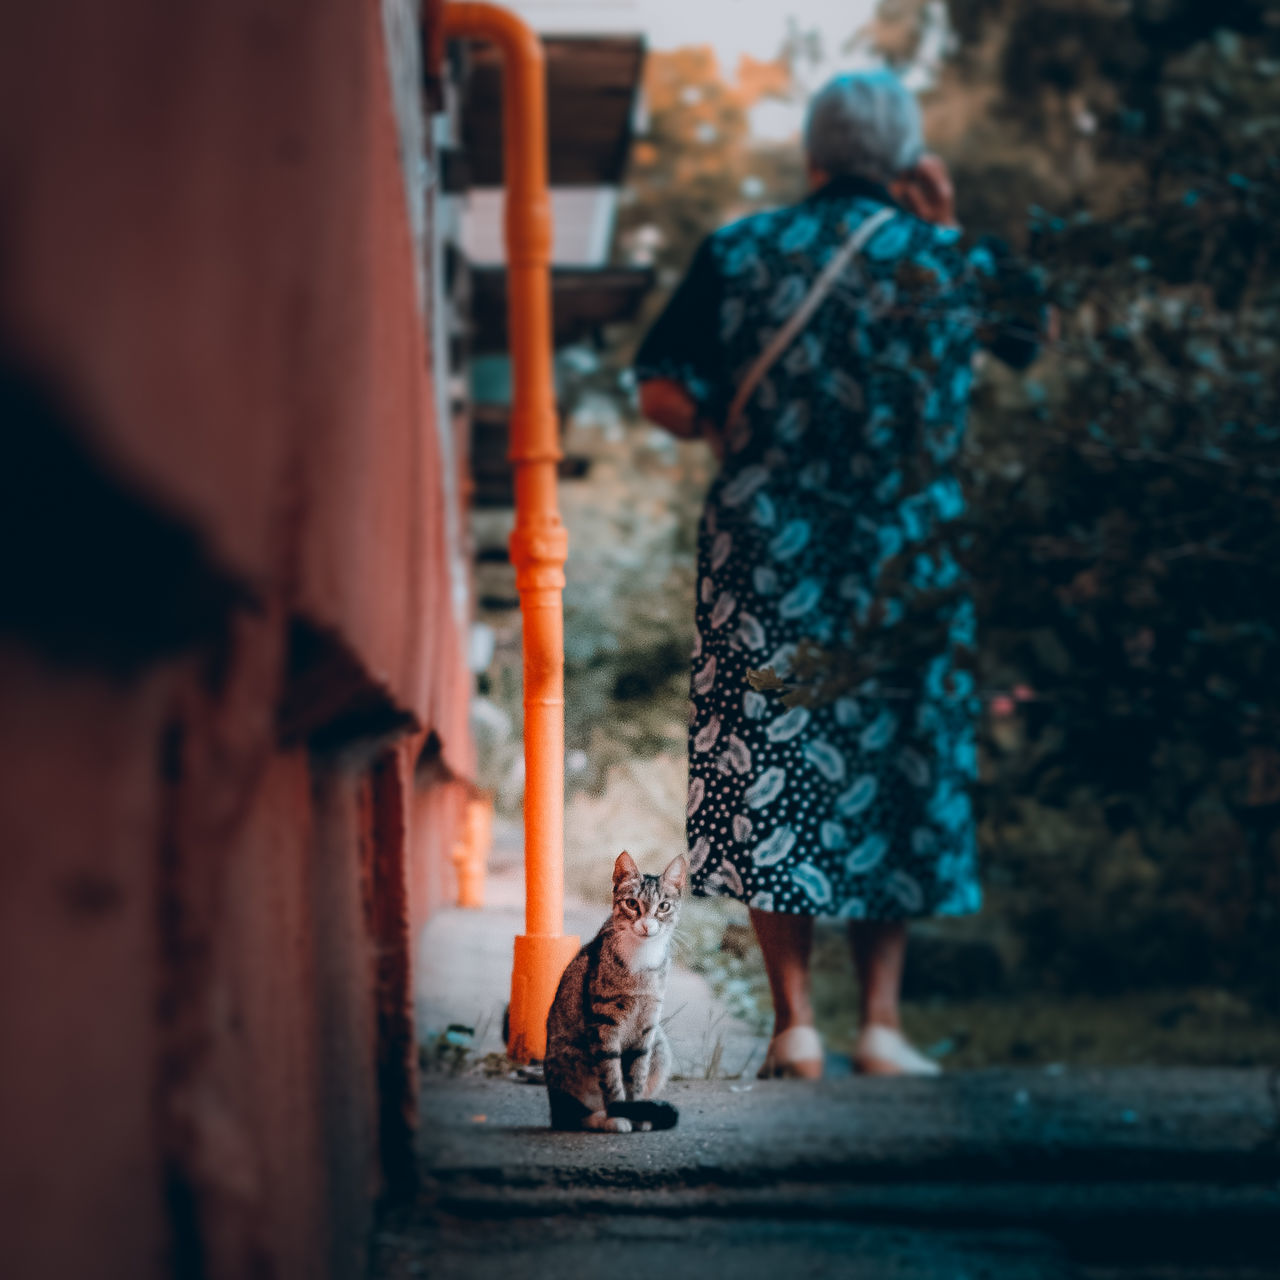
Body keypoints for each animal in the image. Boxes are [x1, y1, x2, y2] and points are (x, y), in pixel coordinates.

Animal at [550, 849, 691, 1131]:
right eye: (632, 904)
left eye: (664, 906)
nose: (647, 925)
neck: (642, 960)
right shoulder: (604, 1024)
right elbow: (611, 1077)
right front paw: (619, 1115)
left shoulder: (647, 1026)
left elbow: (636, 1075)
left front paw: (636, 1112)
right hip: (569, 1053)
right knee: (568, 1116)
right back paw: (599, 1118)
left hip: (660, 1045)